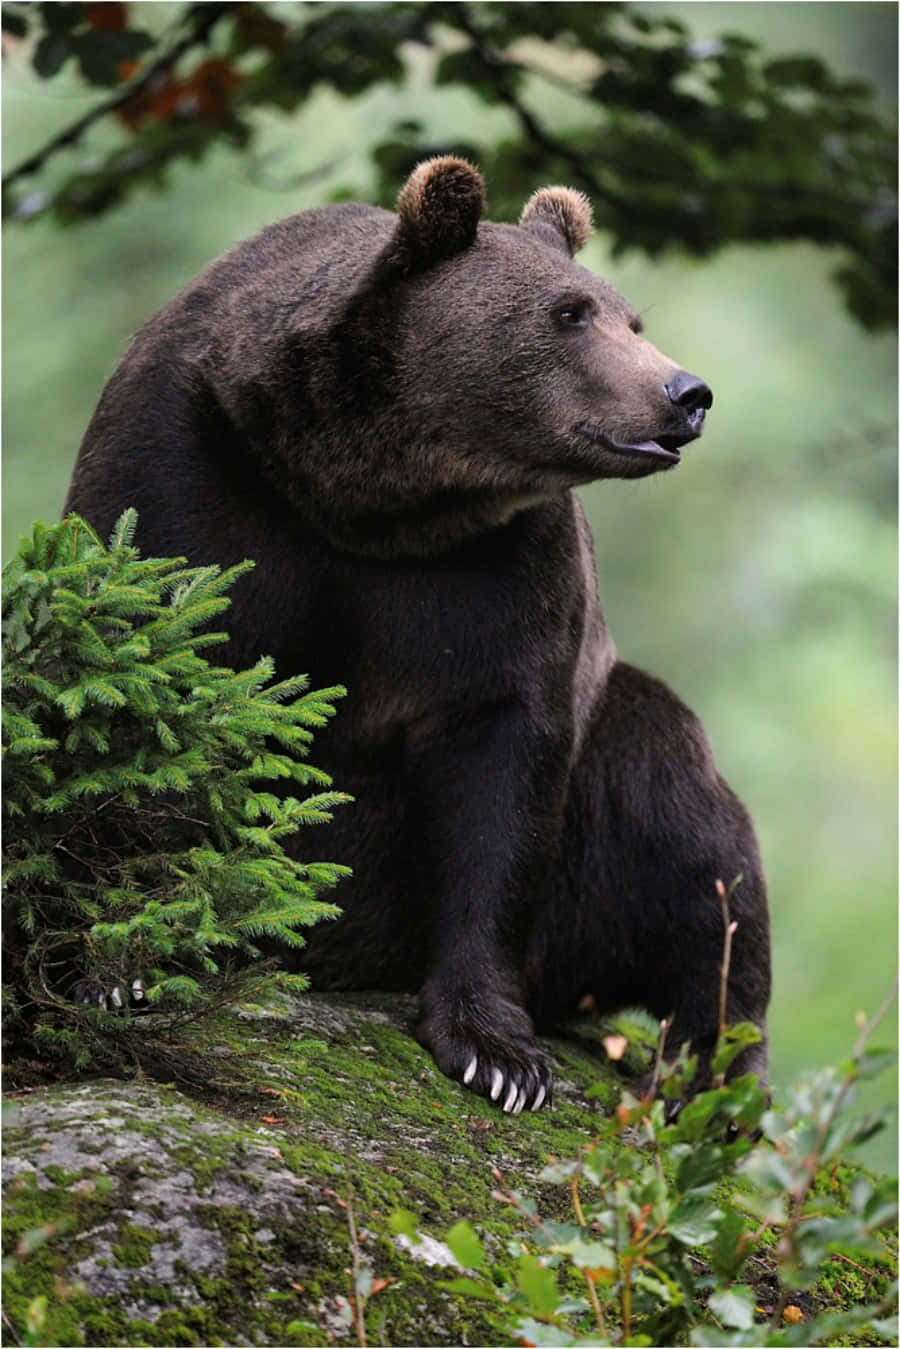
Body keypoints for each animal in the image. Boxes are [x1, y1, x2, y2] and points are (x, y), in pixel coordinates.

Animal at [65, 157, 771, 1114]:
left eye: (631, 318)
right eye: (569, 314)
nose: (685, 394)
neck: (370, 495)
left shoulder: (498, 569)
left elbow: (501, 769)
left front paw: (495, 1051)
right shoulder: (186, 473)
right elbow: (139, 688)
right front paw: (114, 962)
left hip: (601, 823)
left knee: (688, 827)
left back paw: (713, 1070)